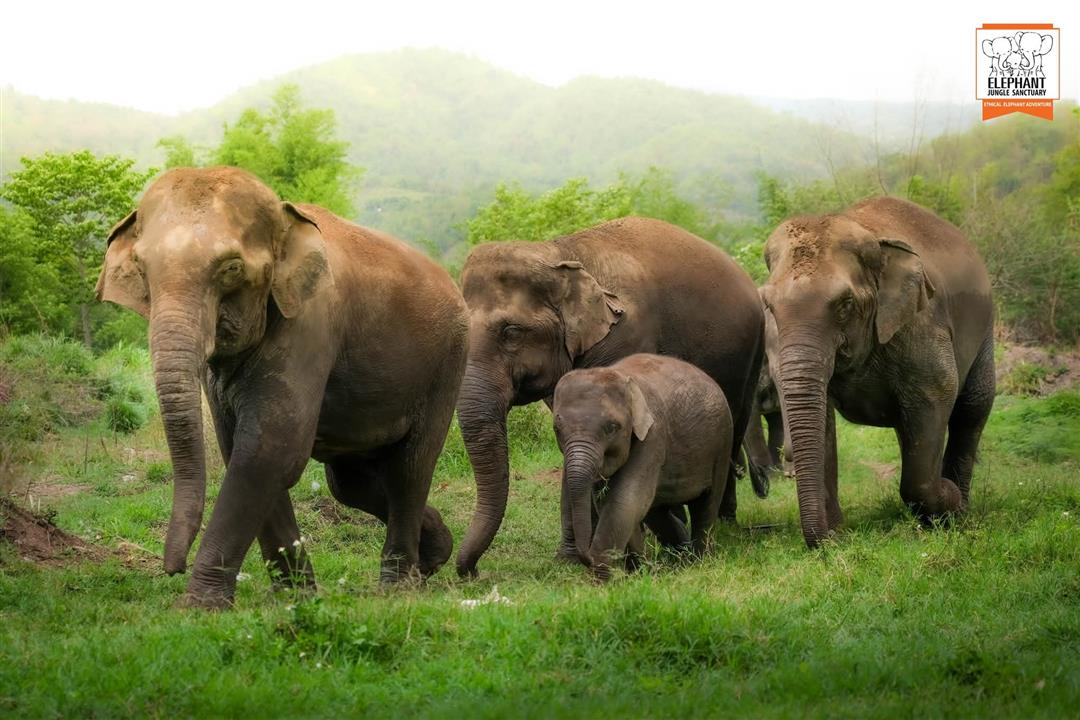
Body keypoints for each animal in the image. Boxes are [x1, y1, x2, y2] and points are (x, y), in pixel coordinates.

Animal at [96, 167, 468, 607]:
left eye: (231, 269)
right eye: (141, 267)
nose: (173, 568)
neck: (283, 214)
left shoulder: (310, 324)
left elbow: (269, 449)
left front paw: (199, 606)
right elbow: (242, 450)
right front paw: (298, 598)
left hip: (448, 363)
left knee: (409, 470)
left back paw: (398, 586)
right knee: (349, 484)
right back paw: (435, 555)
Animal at [553, 354, 733, 580]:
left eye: (612, 427)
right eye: (557, 429)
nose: (586, 558)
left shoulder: (653, 436)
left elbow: (625, 499)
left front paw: (601, 579)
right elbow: (613, 501)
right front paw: (639, 571)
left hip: (721, 444)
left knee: (707, 503)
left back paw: (698, 561)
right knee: (656, 511)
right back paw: (680, 553)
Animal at [760, 196, 994, 547]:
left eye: (844, 304)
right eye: (769, 306)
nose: (827, 539)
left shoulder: (922, 326)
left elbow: (937, 395)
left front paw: (947, 503)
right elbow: (822, 418)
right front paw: (836, 533)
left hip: (985, 326)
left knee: (972, 407)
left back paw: (960, 509)